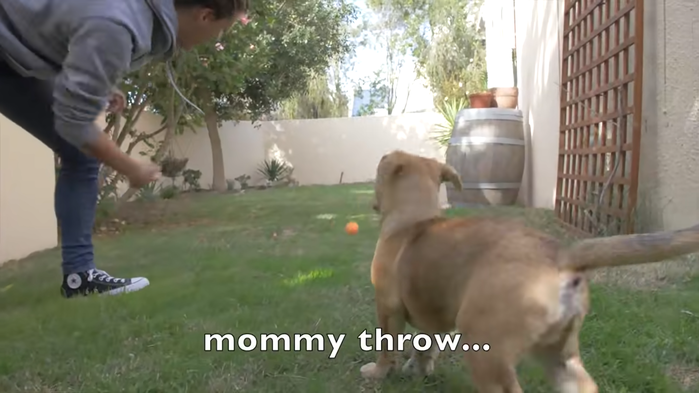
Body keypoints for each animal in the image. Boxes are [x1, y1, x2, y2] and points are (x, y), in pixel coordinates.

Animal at [364, 149, 699, 390]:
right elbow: (425, 345)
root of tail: (561, 255)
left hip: (486, 349)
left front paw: (379, 372)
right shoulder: (432, 315)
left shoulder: (387, 307)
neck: (413, 219)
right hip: (561, 357)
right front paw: (419, 370)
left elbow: (387, 346)